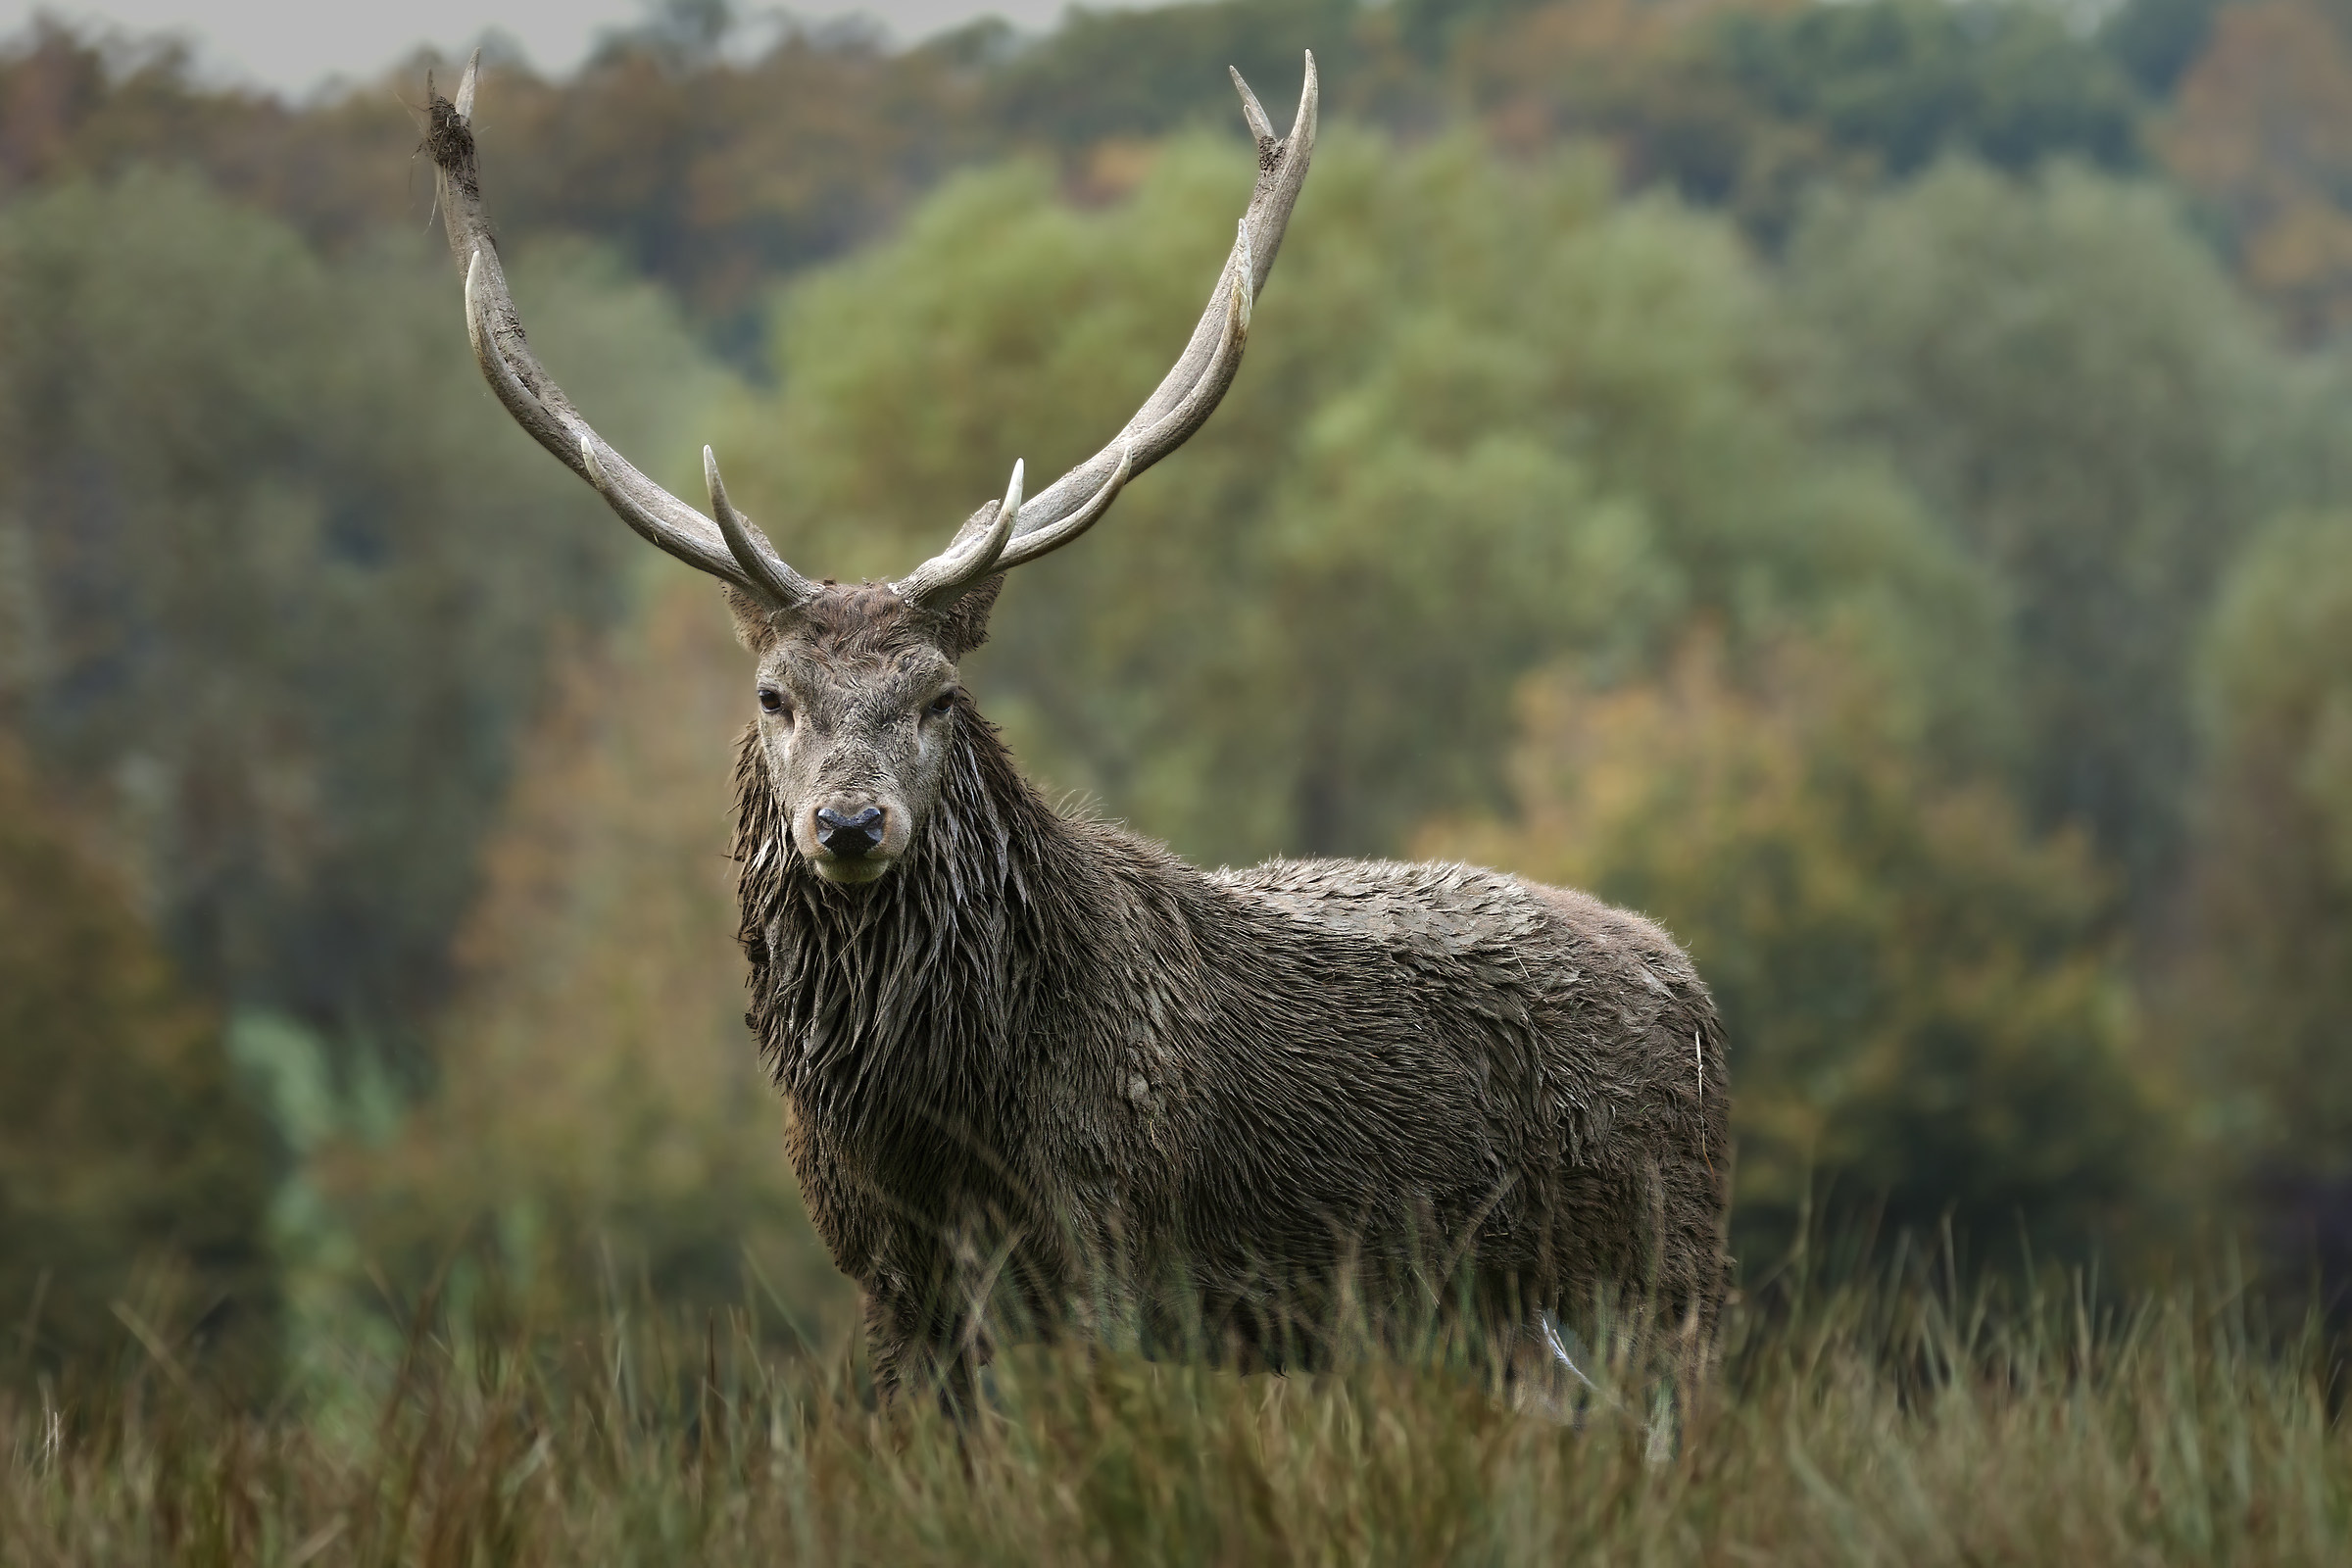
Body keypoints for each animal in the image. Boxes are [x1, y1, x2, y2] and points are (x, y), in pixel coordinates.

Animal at [425, 49, 1729, 1418]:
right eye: (775, 695)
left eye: (938, 694)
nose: (849, 821)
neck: (931, 1122)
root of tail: (1695, 992)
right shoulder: (884, 1277)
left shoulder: (1108, 1227)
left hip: (1661, 1277)